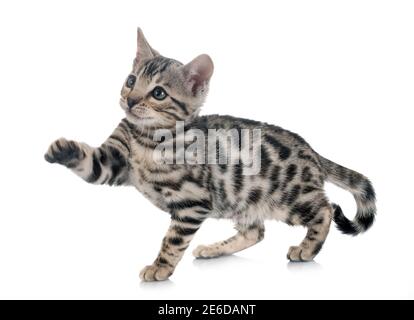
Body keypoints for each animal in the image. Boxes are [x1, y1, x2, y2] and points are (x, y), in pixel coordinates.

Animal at [44, 28, 376, 282]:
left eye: (159, 93)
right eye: (130, 80)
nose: (131, 100)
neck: (146, 140)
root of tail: (311, 151)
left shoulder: (192, 201)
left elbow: (173, 239)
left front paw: (160, 267)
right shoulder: (112, 162)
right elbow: (89, 161)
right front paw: (61, 148)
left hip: (289, 199)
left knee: (324, 209)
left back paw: (306, 248)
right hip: (243, 200)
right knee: (256, 231)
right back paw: (214, 249)